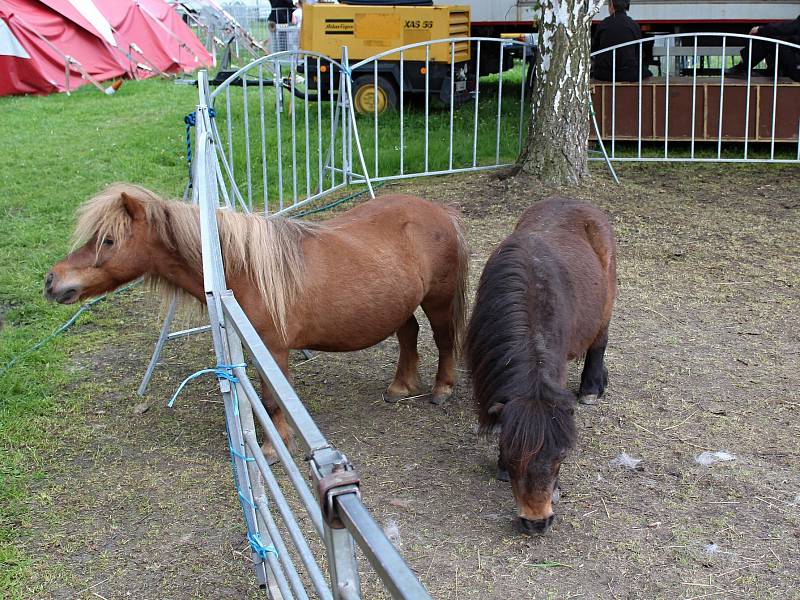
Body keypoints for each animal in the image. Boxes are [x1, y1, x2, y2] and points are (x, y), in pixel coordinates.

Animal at [43, 185, 468, 458]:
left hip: (438, 301)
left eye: (109, 240)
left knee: (444, 339)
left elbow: (271, 399)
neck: (243, 269)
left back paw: (441, 390)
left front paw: (273, 447)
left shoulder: (274, 350)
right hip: (400, 305)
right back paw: (400, 386)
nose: (52, 280)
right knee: (409, 335)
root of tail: (439, 212)